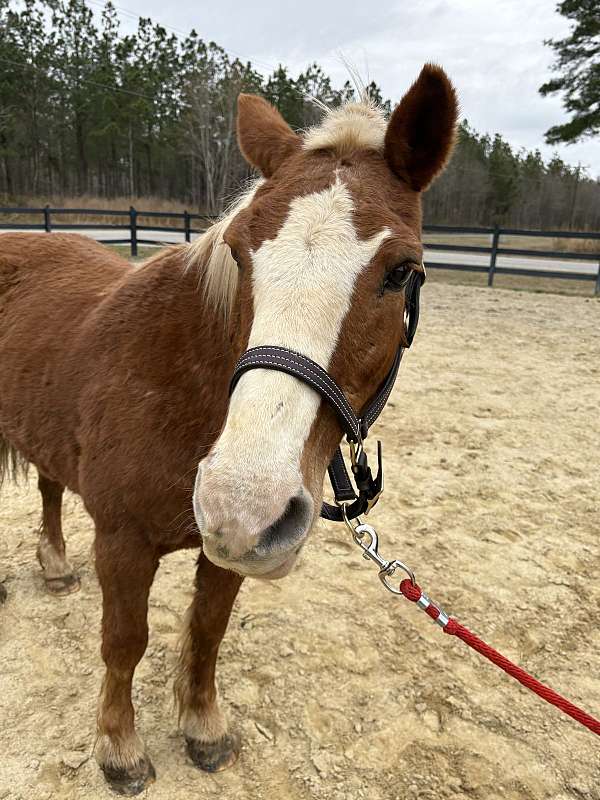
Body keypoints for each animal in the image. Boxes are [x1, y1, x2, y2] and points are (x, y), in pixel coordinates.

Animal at [0, 64, 458, 792]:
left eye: (401, 272)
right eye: (241, 253)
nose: (242, 503)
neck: (181, 384)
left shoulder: (230, 552)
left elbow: (208, 632)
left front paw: (203, 728)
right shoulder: (123, 542)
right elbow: (124, 643)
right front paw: (119, 748)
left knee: (48, 487)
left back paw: (54, 567)